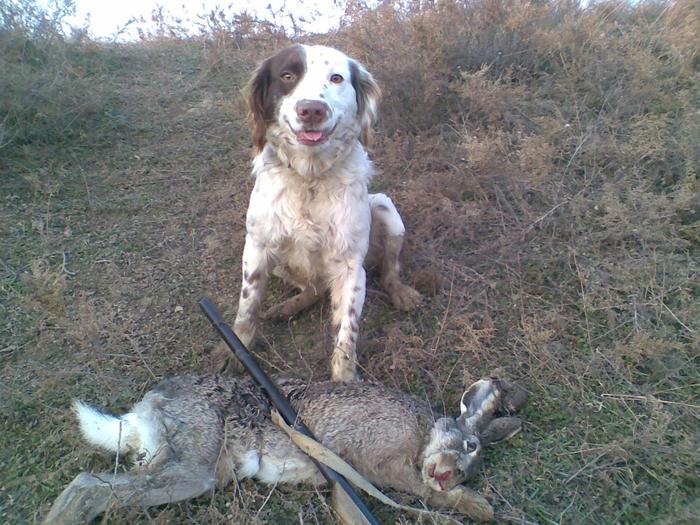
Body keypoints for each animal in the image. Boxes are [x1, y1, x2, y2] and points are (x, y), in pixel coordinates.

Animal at [44, 374, 527, 524]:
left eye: (473, 464)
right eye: (467, 444)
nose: (449, 475)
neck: (426, 433)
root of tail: (144, 410)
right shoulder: (381, 463)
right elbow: (420, 491)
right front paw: (479, 507)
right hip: (193, 467)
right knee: (89, 486)